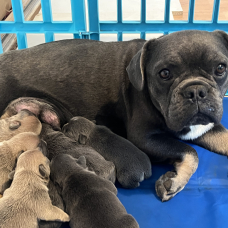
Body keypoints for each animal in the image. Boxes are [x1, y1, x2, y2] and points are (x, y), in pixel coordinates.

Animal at [1, 29, 228, 201]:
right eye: (164, 74)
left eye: (220, 69)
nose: (196, 91)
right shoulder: (144, 138)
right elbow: (191, 152)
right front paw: (175, 181)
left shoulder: (203, 126)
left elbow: (219, 137)